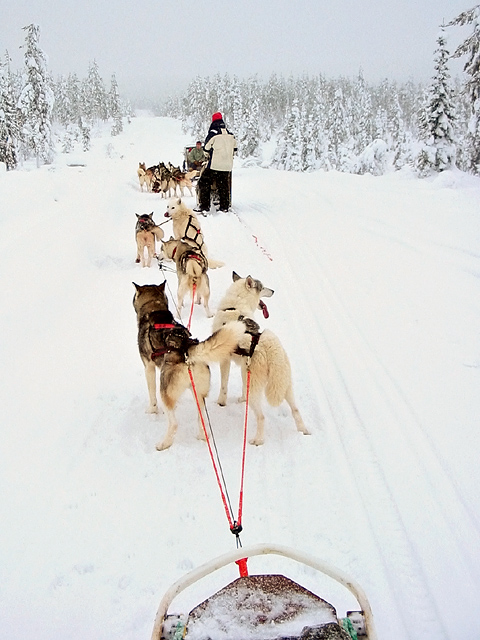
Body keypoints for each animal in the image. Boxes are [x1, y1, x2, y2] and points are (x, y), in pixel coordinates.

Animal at [134, 282, 249, 452]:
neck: (154, 309)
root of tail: (187, 348)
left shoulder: (148, 367)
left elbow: (152, 396)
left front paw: (151, 410)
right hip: (199, 394)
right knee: (201, 419)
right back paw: (202, 436)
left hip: (165, 391)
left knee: (174, 424)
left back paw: (164, 443)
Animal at [212, 272, 310, 444]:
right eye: (263, 287)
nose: (273, 291)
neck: (235, 305)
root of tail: (272, 351)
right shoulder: (244, 368)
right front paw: (241, 399)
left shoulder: (225, 360)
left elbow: (224, 386)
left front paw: (221, 403)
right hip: (285, 385)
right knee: (296, 410)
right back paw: (303, 431)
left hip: (257, 389)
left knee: (262, 417)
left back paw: (258, 440)